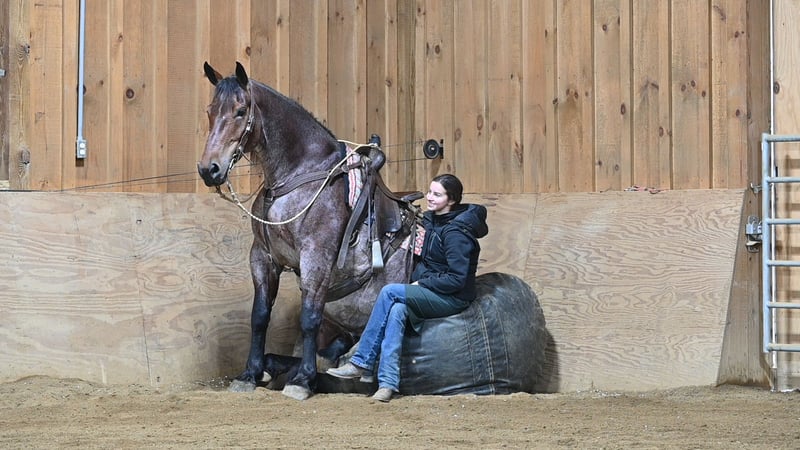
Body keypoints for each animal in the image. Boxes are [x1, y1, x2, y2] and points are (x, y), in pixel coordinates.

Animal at [198, 61, 420, 400]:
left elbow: (309, 317)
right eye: (210, 111)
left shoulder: (316, 258)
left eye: (240, 111)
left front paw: (302, 380)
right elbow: (259, 316)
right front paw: (250, 373)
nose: (209, 169)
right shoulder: (263, 257)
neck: (300, 174)